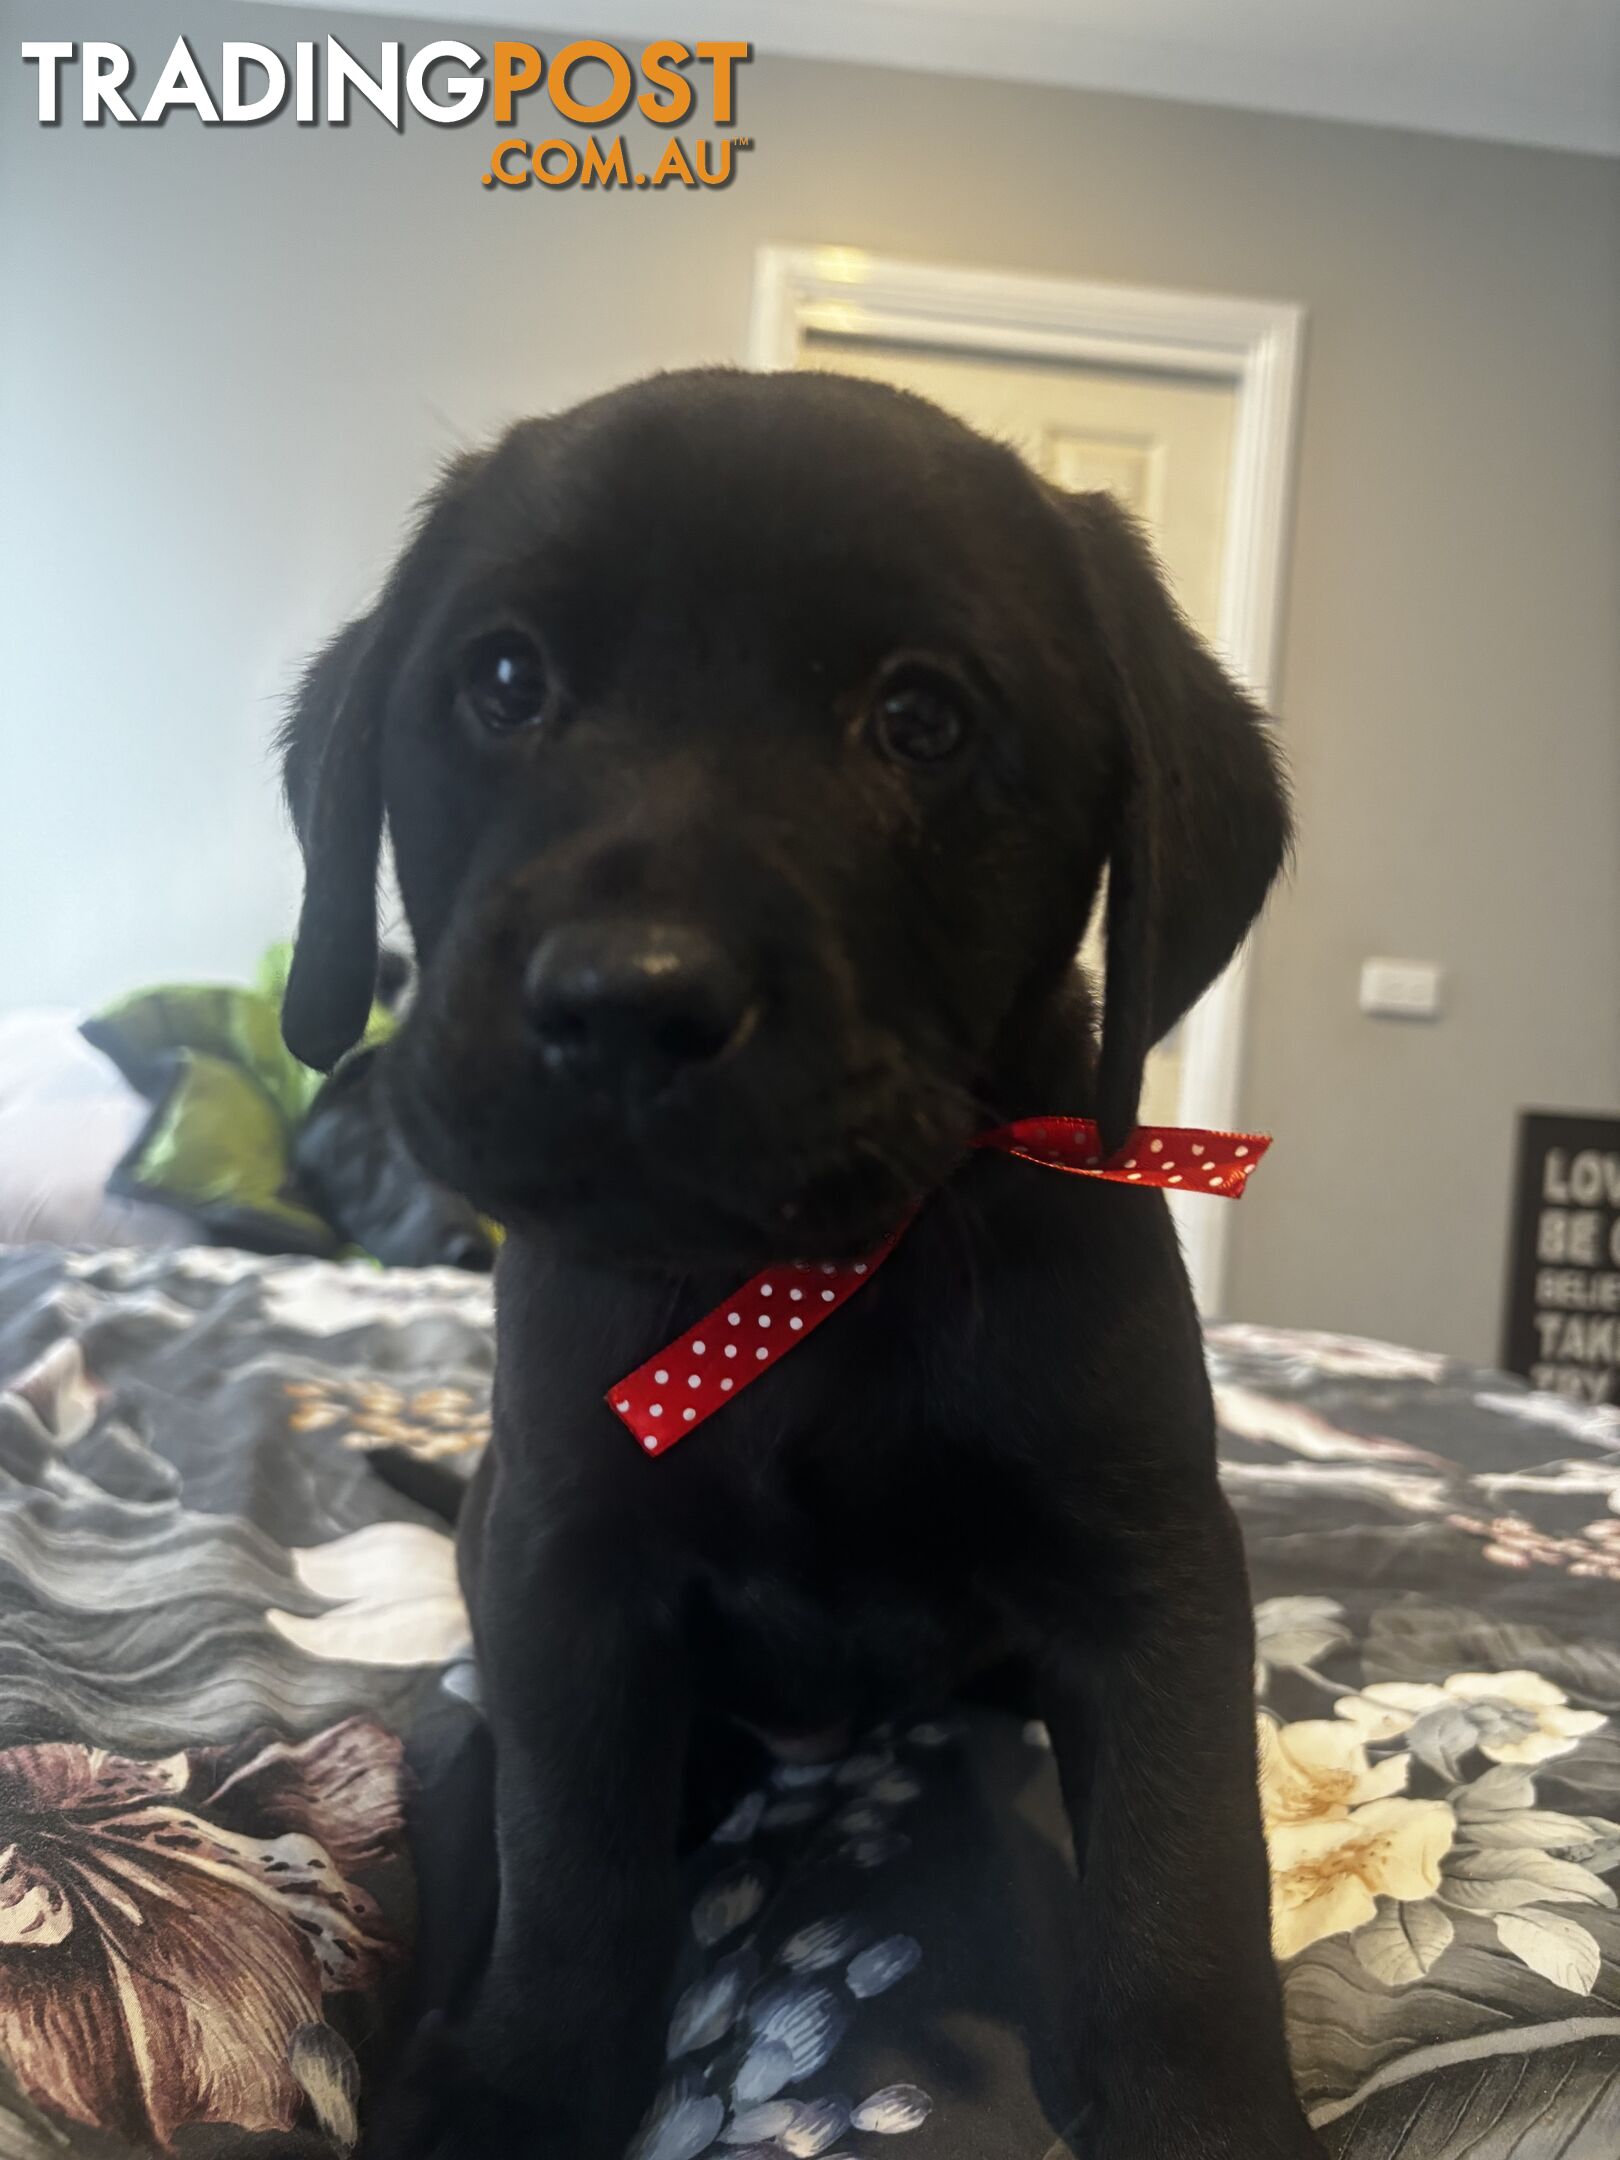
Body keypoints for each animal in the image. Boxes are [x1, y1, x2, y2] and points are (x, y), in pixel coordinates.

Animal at [278, 371, 1321, 2160]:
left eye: (922, 720)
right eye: (505, 679)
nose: (626, 1000)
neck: (809, 1285)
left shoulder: (1155, 1570)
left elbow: (1189, 1890)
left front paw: (1213, 2119)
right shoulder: (567, 1576)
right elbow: (572, 1872)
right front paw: (512, 2091)